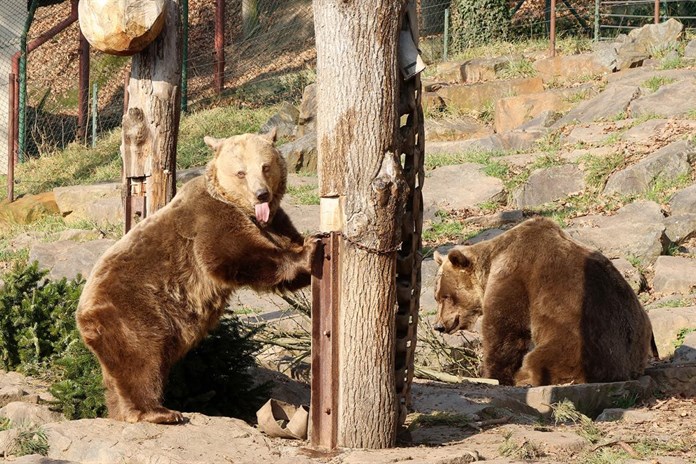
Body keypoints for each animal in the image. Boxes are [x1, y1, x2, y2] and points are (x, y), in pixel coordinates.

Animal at [77, 130, 316, 424]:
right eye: (240, 172)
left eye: (265, 166)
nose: (261, 194)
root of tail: (83, 317)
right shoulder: (210, 220)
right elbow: (236, 257)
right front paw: (309, 251)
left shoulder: (275, 222)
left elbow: (285, 240)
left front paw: (313, 241)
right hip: (133, 311)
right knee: (142, 359)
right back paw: (159, 411)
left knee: (117, 376)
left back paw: (121, 411)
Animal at [432, 219, 656, 386]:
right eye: (437, 296)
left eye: (445, 296)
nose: (439, 325)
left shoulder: (515, 271)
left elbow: (505, 327)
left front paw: (493, 374)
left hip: (581, 344)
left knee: (542, 359)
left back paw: (524, 376)